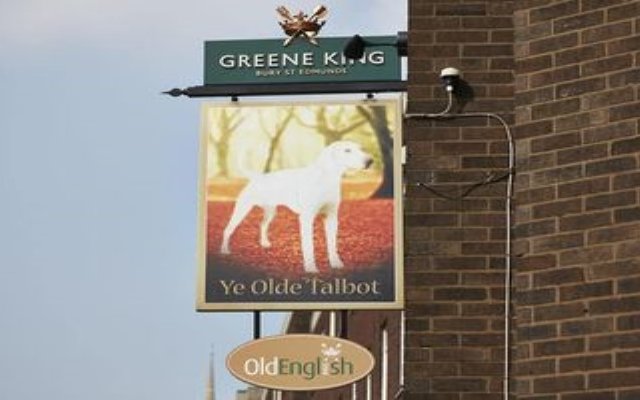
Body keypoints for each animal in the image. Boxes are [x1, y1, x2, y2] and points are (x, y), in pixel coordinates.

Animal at [220, 140, 372, 272]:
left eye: (361, 148)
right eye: (347, 150)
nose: (370, 161)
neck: (326, 178)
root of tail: (257, 177)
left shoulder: (331, 218)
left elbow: (332, 244)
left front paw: (335, 263)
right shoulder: (306, 219)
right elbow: (308, 246)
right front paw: (310, 268)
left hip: (270, 211)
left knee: (262, 225)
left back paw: (264, 243)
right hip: (242, 209)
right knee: (228, 229)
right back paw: (224, 250)